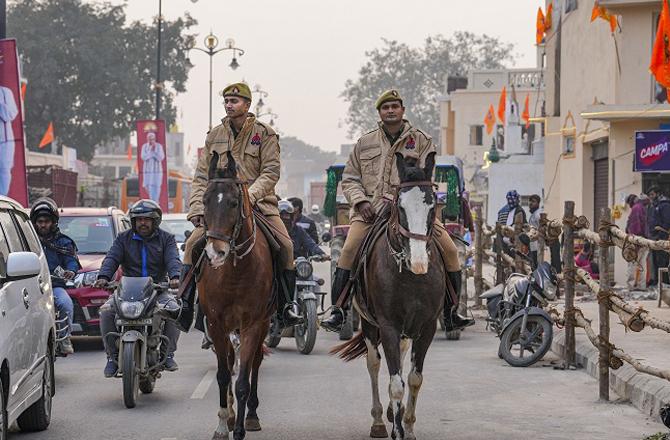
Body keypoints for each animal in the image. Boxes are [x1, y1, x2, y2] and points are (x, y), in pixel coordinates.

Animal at [198, 151, 274, 440]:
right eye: (205, 201)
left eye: (233, 203)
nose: (215, 252)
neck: (235, 272)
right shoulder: (216, 323)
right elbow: (223, 374)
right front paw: (223, 424)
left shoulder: (252, 323)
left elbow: (242, 379)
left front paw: (240, 428)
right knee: (232, 361)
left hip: (263, 322)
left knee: (254, 363)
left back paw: (250, 415)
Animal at [334, 152, 446, 440]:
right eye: (400, 206)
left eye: (433, 206)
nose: (419, 262)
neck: (411, 275)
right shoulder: (388, 327)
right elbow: (396, 382)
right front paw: (396, 429)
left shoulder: (427, 327)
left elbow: (414, 379)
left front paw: (408, 425)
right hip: (370, 324)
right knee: (373, 364)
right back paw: (378, 420)